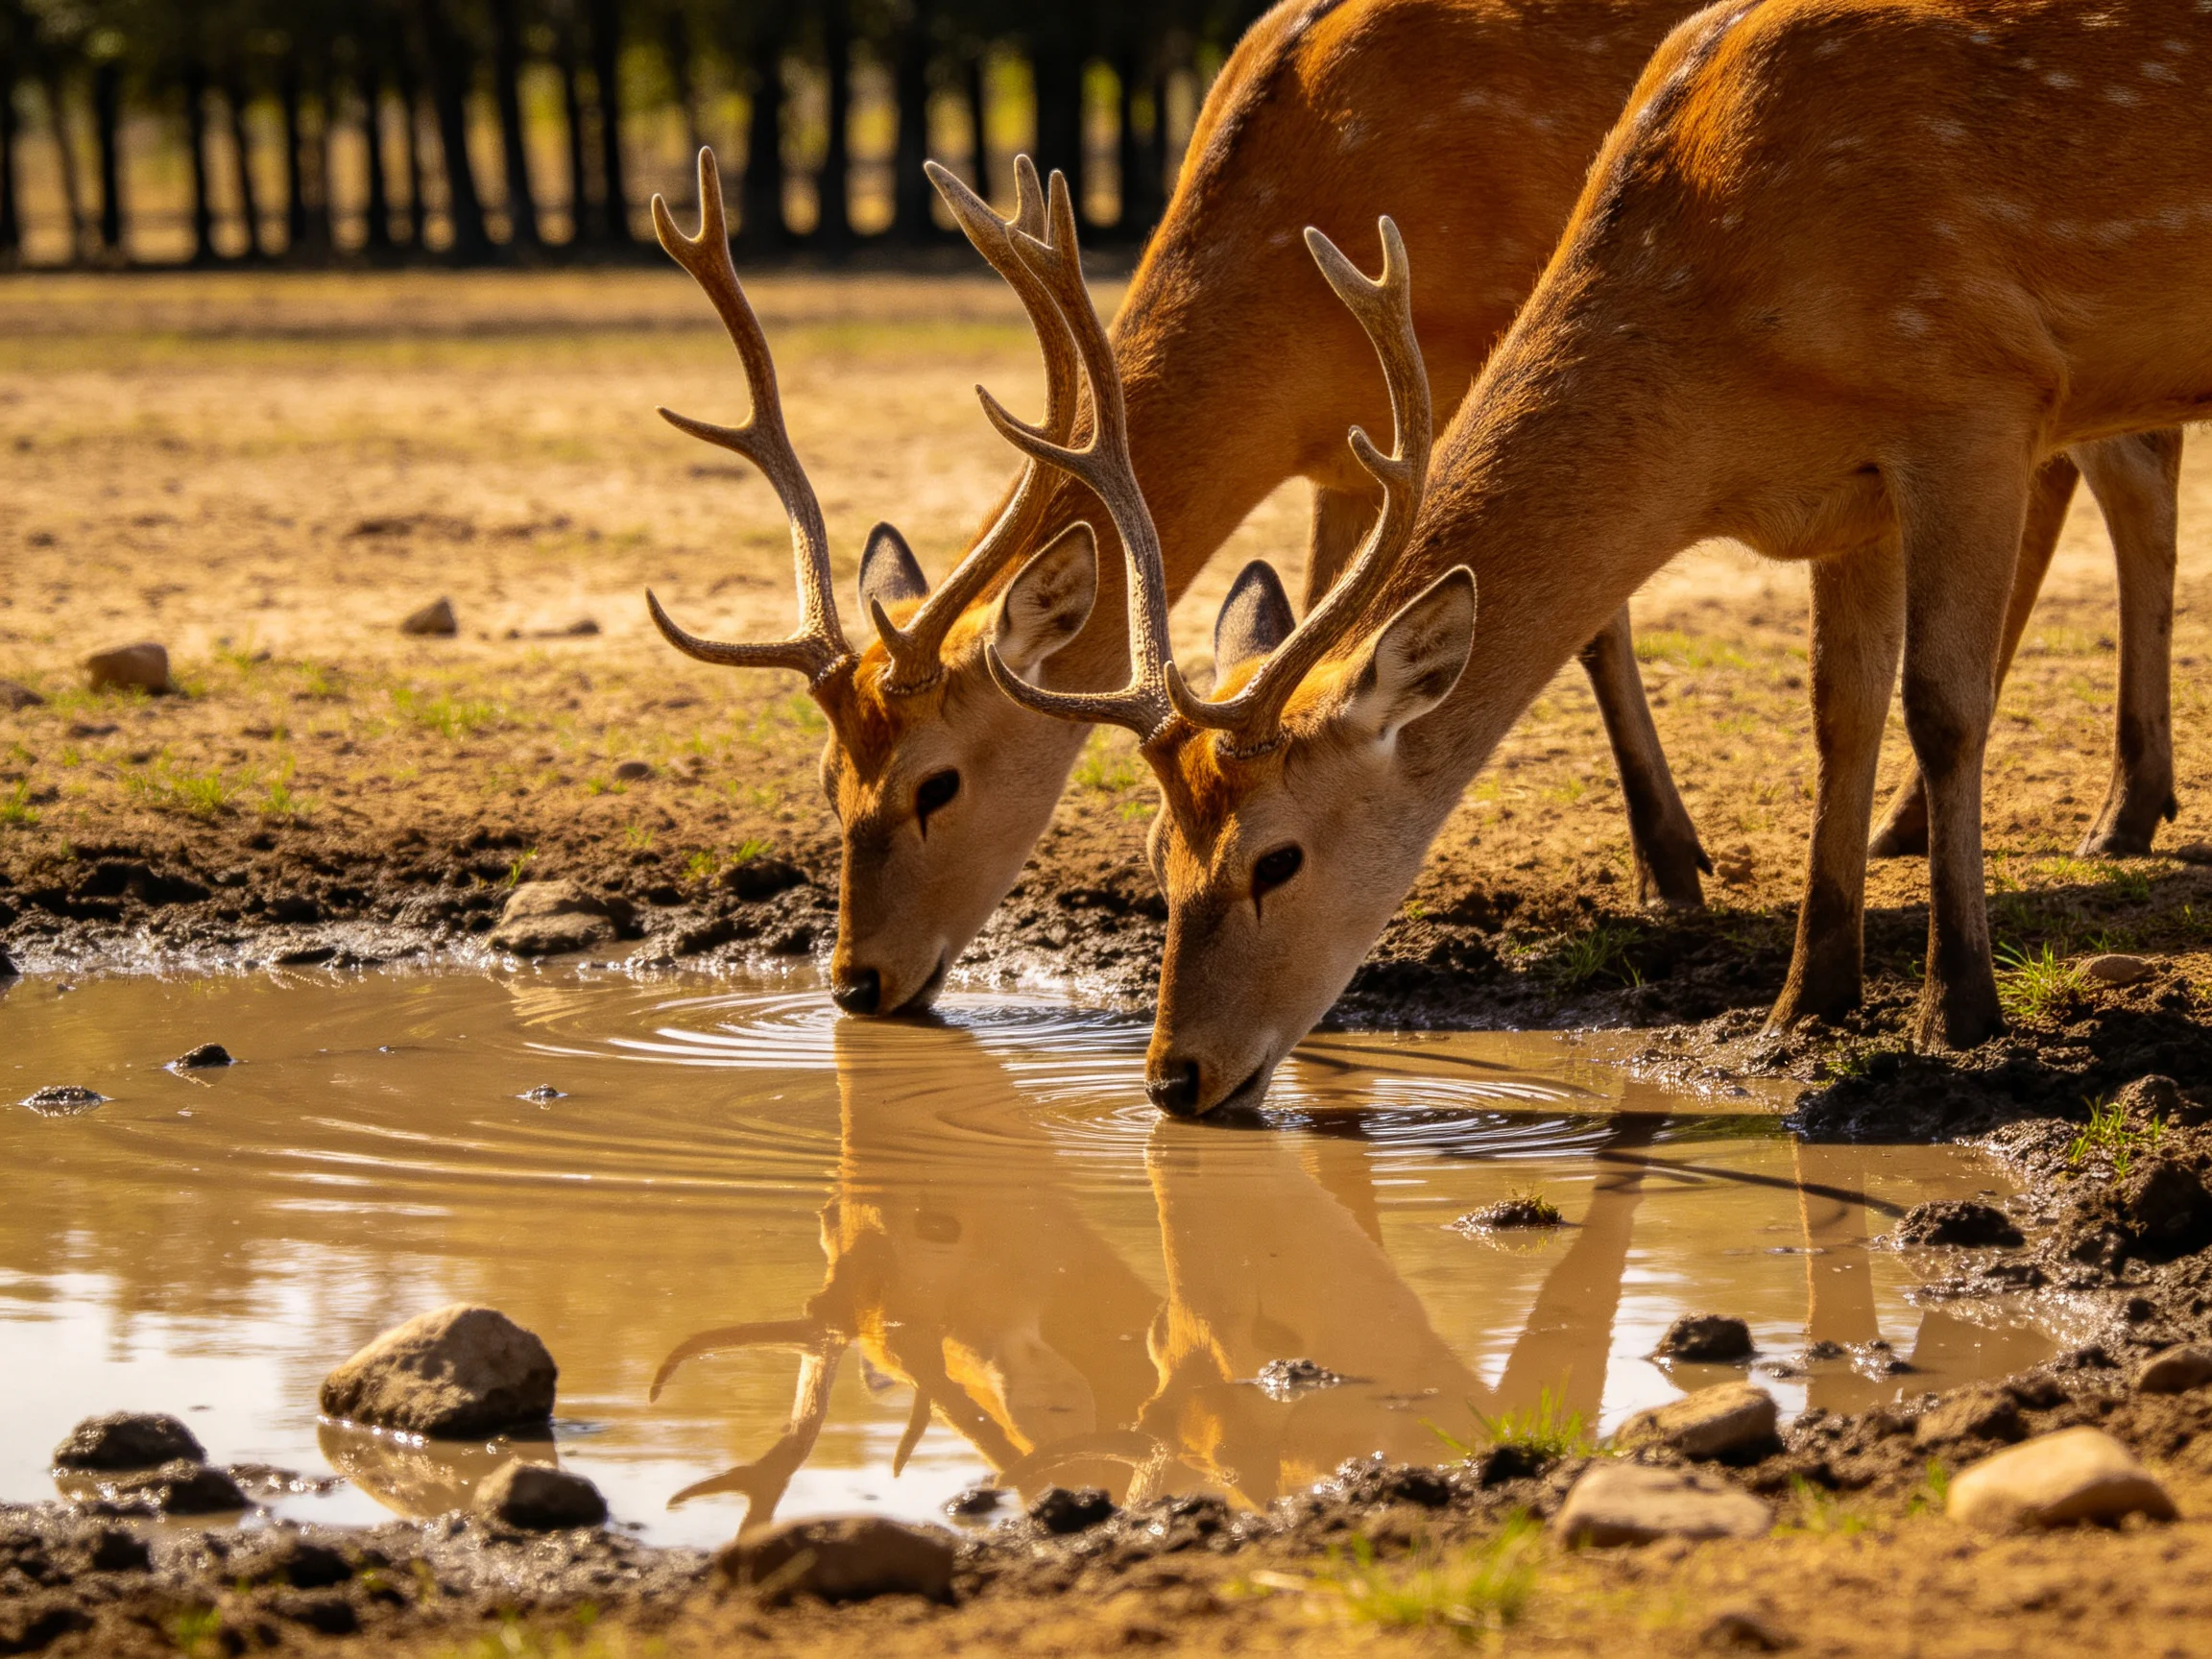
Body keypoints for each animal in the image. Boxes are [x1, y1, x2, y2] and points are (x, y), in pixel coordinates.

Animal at [638, 0, 2183, 1022]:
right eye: (825, 783)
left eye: (936, 784)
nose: (857, 983)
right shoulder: (1342, 459)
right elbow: (1304, 633)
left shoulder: (1463, 349)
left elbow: (1586, 624)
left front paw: (1673, 862)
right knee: (2093, 475)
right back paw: (1974, 816)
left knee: (2129, 473)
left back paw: (2118, 810)